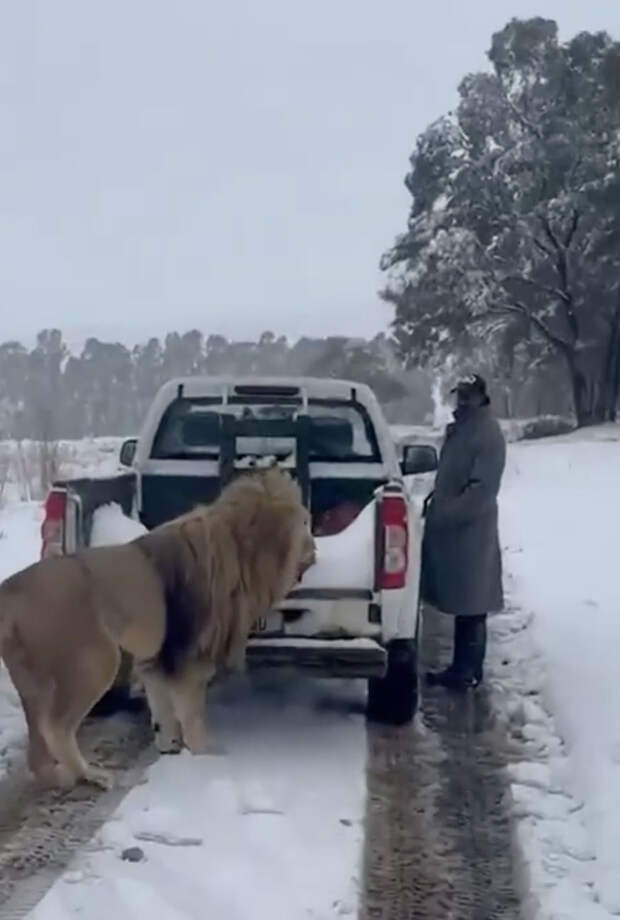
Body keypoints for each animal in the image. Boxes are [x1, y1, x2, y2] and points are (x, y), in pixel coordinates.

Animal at [0, 470, 314, 788]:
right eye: (304, 523)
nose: (314, 550)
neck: (238, 549)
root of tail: (8, 591)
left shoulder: (156, 659)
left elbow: (163, 708)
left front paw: (169, 746)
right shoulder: (189, 657)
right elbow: (191, 714)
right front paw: (206, 756)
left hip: (32, 681)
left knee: (37, 745)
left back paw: (55, 776)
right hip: (95, 660)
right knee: (55, 727)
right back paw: (92, 774)